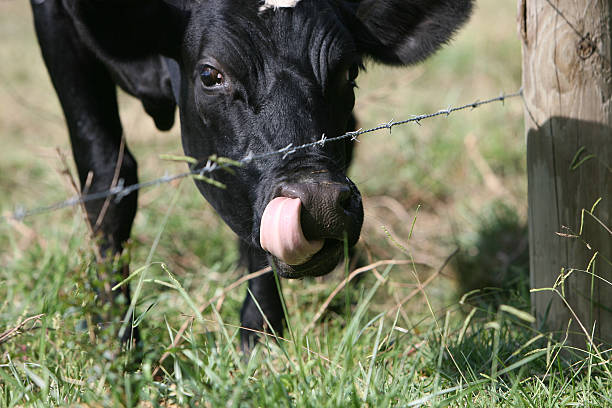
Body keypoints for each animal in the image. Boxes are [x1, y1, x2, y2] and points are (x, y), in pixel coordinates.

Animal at [29, 0, 474, 350]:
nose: (320, 202)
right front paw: (118, 342)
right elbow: (108, 177)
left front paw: (259, 336)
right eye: (210, 75)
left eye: (350, 72)